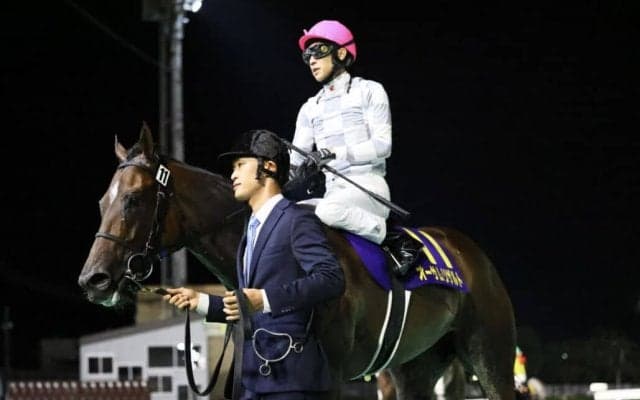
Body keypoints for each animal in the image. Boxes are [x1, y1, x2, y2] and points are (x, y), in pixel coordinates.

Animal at [78, 123, 517, 400]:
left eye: (133, 200)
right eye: (101, 202)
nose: (93, 280)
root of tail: (469, 252)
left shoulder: (330, 379)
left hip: (491, 356)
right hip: (416, 368)